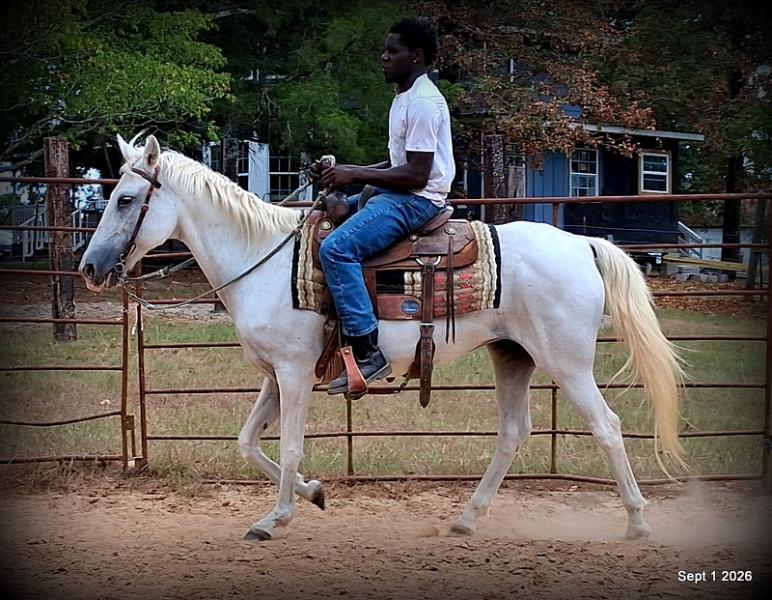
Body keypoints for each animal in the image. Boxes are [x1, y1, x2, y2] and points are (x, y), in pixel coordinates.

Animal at [79, 133, 685, 542]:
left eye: (127, 199)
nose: (90, 266)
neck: (263, 259)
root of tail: (583, 244)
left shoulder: (294, 374)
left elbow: (290, 445)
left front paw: (275, 518)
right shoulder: (277, 374)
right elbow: (248, 441)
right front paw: (313, 494)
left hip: (568, 363)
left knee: (607, 426)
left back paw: (637, 523)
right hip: (512, 355)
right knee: (514, 432)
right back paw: (466, 519)